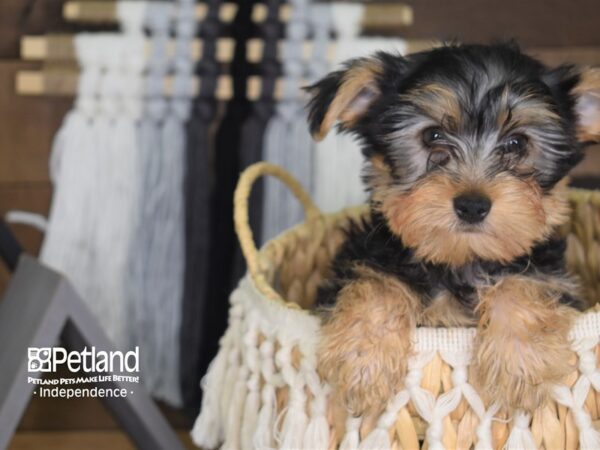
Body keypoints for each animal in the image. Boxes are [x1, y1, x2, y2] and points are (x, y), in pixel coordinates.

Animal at [310, 42, 600, 414]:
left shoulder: (547, 273)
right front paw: (362, 361)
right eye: (432, 135)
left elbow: (522, 281)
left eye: (517, 143)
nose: (472, 205)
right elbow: (376, 281)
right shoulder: (369, 254)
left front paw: (521, 362)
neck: (460, 262)